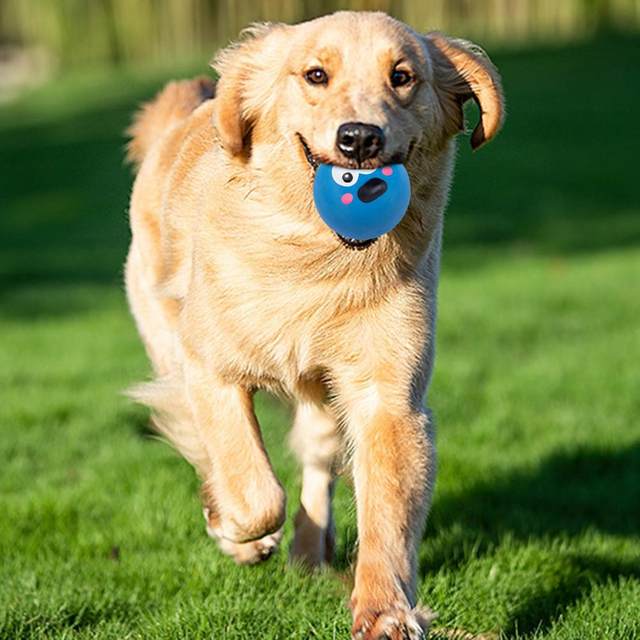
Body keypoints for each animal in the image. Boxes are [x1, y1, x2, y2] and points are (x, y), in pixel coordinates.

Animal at [125, 11, 504, 640]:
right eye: (315, 75)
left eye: (403, 76)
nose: (359, 138)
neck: (317, 260)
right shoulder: (208, 369)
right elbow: (253, 490)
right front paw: (234, 530)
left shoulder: (388, 394)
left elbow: (386, 511)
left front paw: (385, 610)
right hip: (165, 334)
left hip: (325, 398)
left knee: (318, 463)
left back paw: (308, 551)